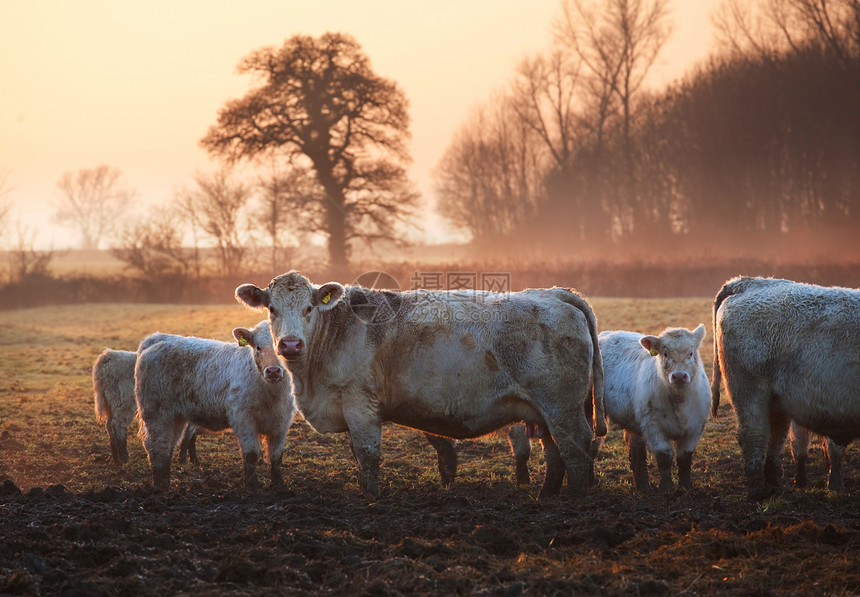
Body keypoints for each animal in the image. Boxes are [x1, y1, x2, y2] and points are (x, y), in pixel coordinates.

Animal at [135, 322, 296, 488]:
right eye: (258, 347)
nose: (273, 371)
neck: (271, 393)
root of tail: (157, 339)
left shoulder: (281, 422)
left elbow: (276, 456)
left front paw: (278, 485)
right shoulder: (243, 420)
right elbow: (251, 454)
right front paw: (252, 486)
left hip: (176, 417)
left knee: (168, 446)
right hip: (156, 413)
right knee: (157, 446)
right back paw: (160, 485)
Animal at [712, 278, 860, 500]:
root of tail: (746, 283)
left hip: (776, 402)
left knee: (774, 439)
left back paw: (776, 486)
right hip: (749, 393)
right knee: (754, 435)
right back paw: (758, 491)